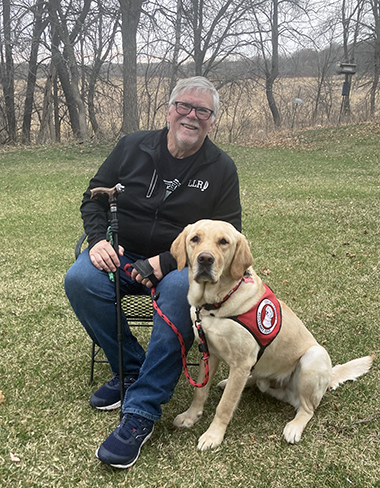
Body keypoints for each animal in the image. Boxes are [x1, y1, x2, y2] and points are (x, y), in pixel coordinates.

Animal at [172, 220, 374, 450]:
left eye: (223, 242)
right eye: (195, 239)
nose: (205, 258)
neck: (216, 303)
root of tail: (330, 375)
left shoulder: (242, 362)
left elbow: (225, 406)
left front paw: (213, 435)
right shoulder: (210, 353)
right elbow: (200, 391)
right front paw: (190, 416)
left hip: (314, 356)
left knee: (307, 409)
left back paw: (294, 427)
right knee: (255, 382)